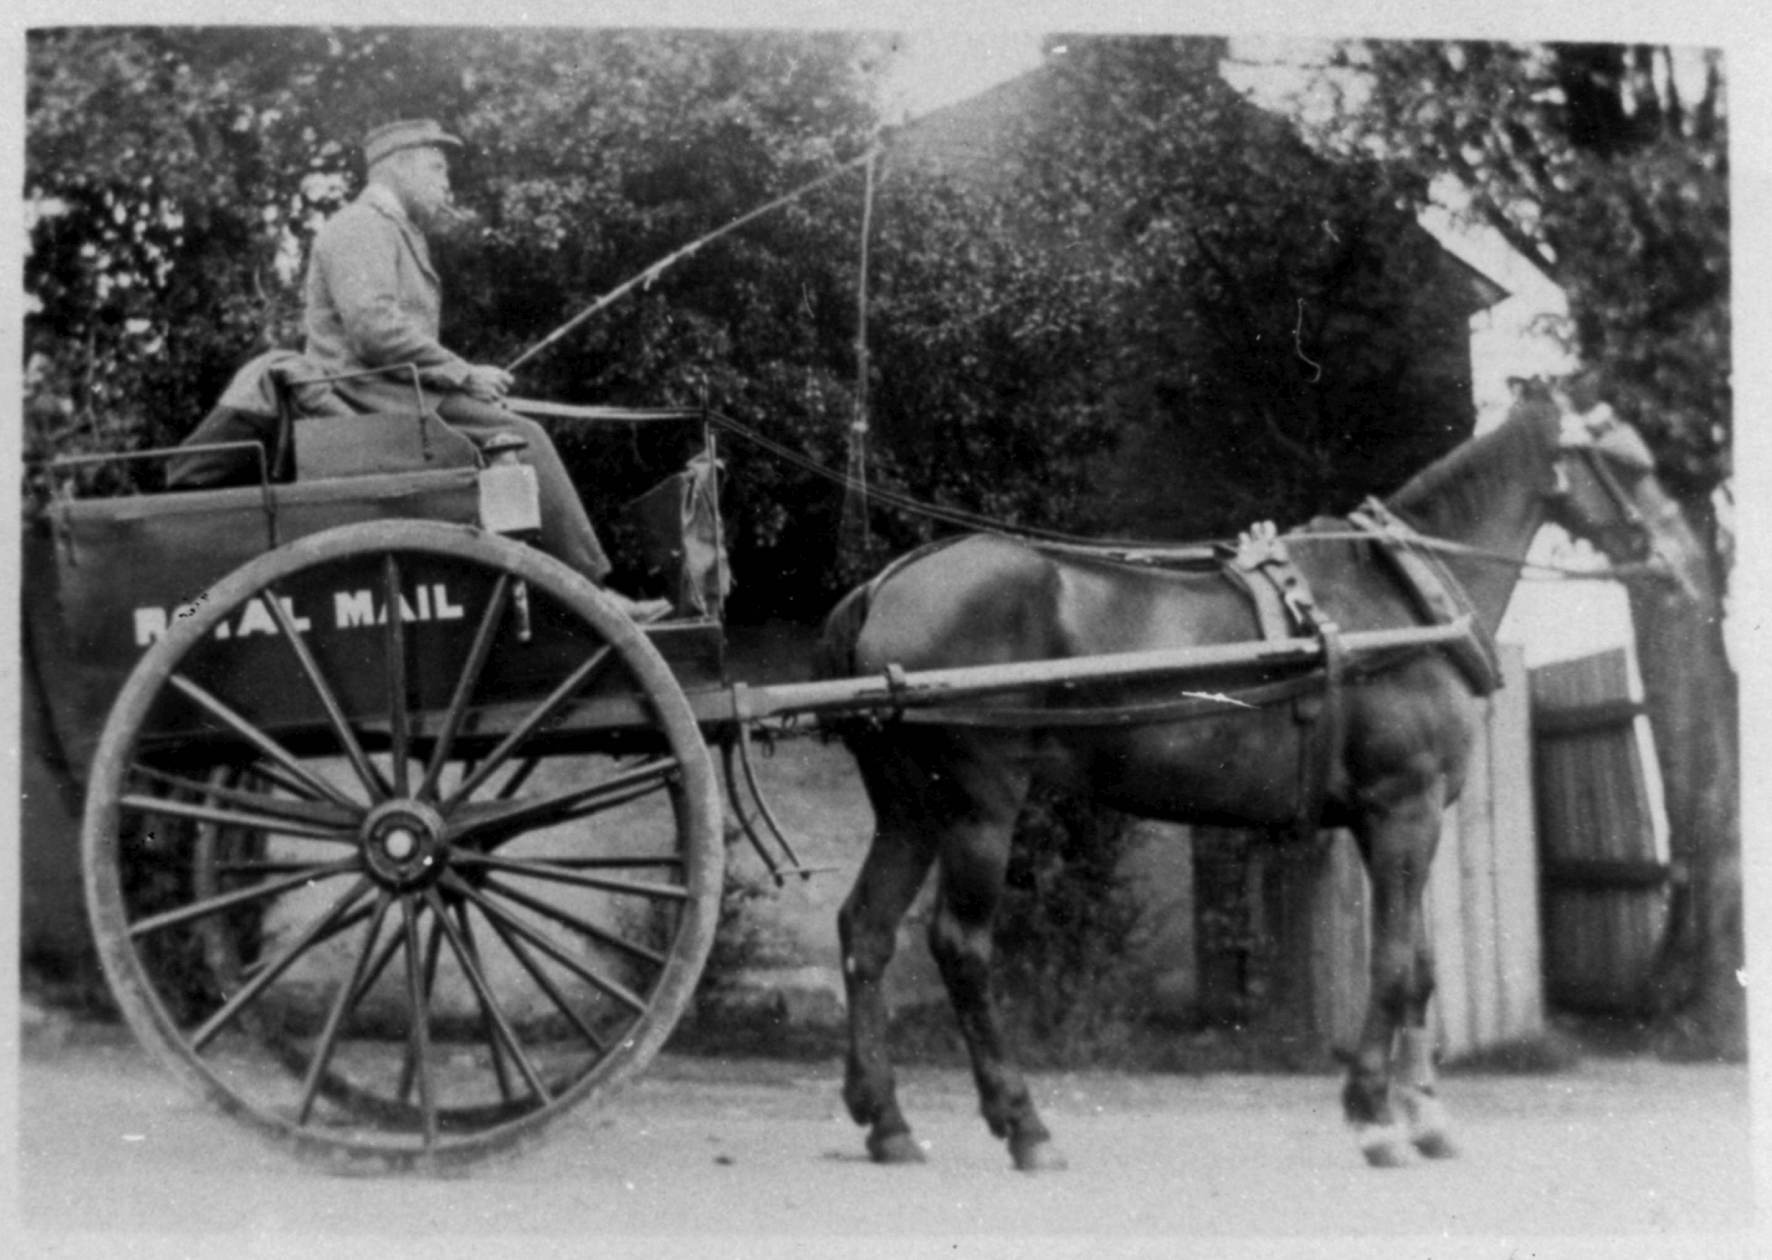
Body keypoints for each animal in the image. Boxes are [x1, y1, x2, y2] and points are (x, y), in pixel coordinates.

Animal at [811, 384, 1701, 1169]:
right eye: (1631, 464)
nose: (1687, 570)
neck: (1401, 601)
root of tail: (885, 586)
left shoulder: (1398, 822)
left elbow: (1419, 969)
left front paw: (1427, 1117)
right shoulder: (1403, 810)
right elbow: (1390, 965)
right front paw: (1373, 1114)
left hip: (912, 809)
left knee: (867, 931)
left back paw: (887, 1121)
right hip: (980, 805)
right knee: (959, 946)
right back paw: (1023, 1124)